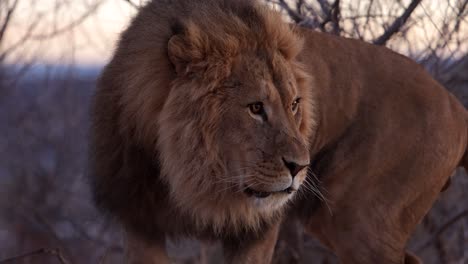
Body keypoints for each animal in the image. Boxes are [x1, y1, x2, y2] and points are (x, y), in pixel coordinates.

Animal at [90, 0, 468, 264]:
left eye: (295, 104)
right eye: (256, 108)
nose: (300, 167)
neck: (189, 175)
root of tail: (456, 105)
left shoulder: (256, 229)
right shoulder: (139, 218)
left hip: (359, 220)